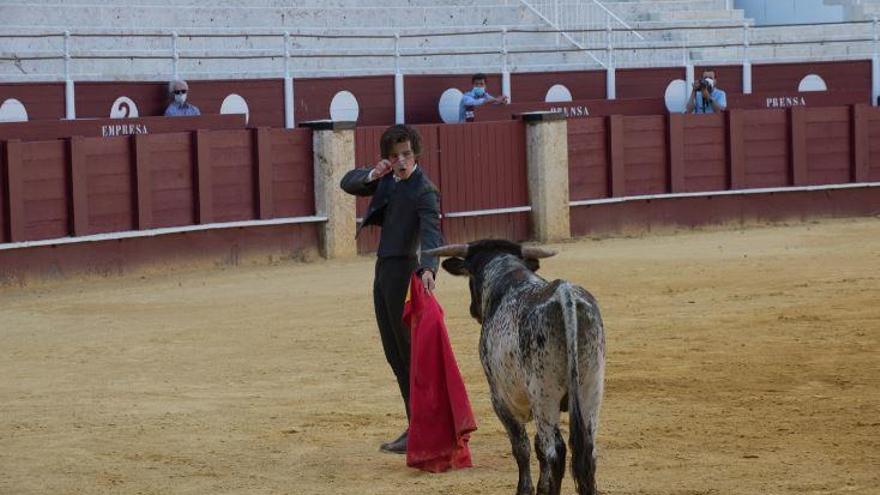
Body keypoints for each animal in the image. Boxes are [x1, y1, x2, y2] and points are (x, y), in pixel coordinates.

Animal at [424, 240, 604, 495]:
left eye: (471, 276)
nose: (473, 309)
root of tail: (565, 294)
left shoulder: (501, 400)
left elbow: (522, 447)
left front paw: (525, 489)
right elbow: (537, 448)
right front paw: (541, 487)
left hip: (544, 396)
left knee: (555, 451)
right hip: (591, 389)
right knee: (587, 452)